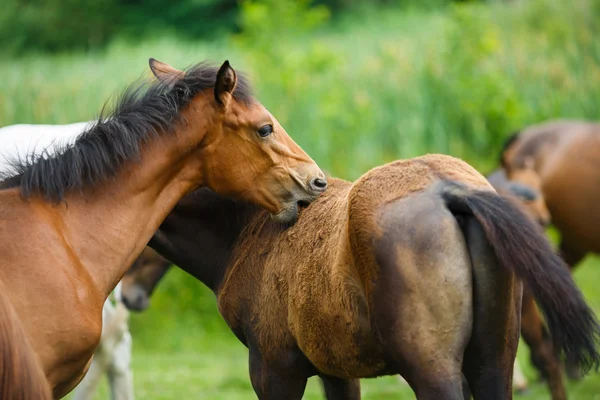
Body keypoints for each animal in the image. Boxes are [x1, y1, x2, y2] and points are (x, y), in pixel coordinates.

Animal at [123, 155, 600, 398]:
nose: (127, 298)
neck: (249, 227)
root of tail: (450, 190)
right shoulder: (335, 368)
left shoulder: (273, 368)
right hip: (493, 360)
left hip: (432, 370)